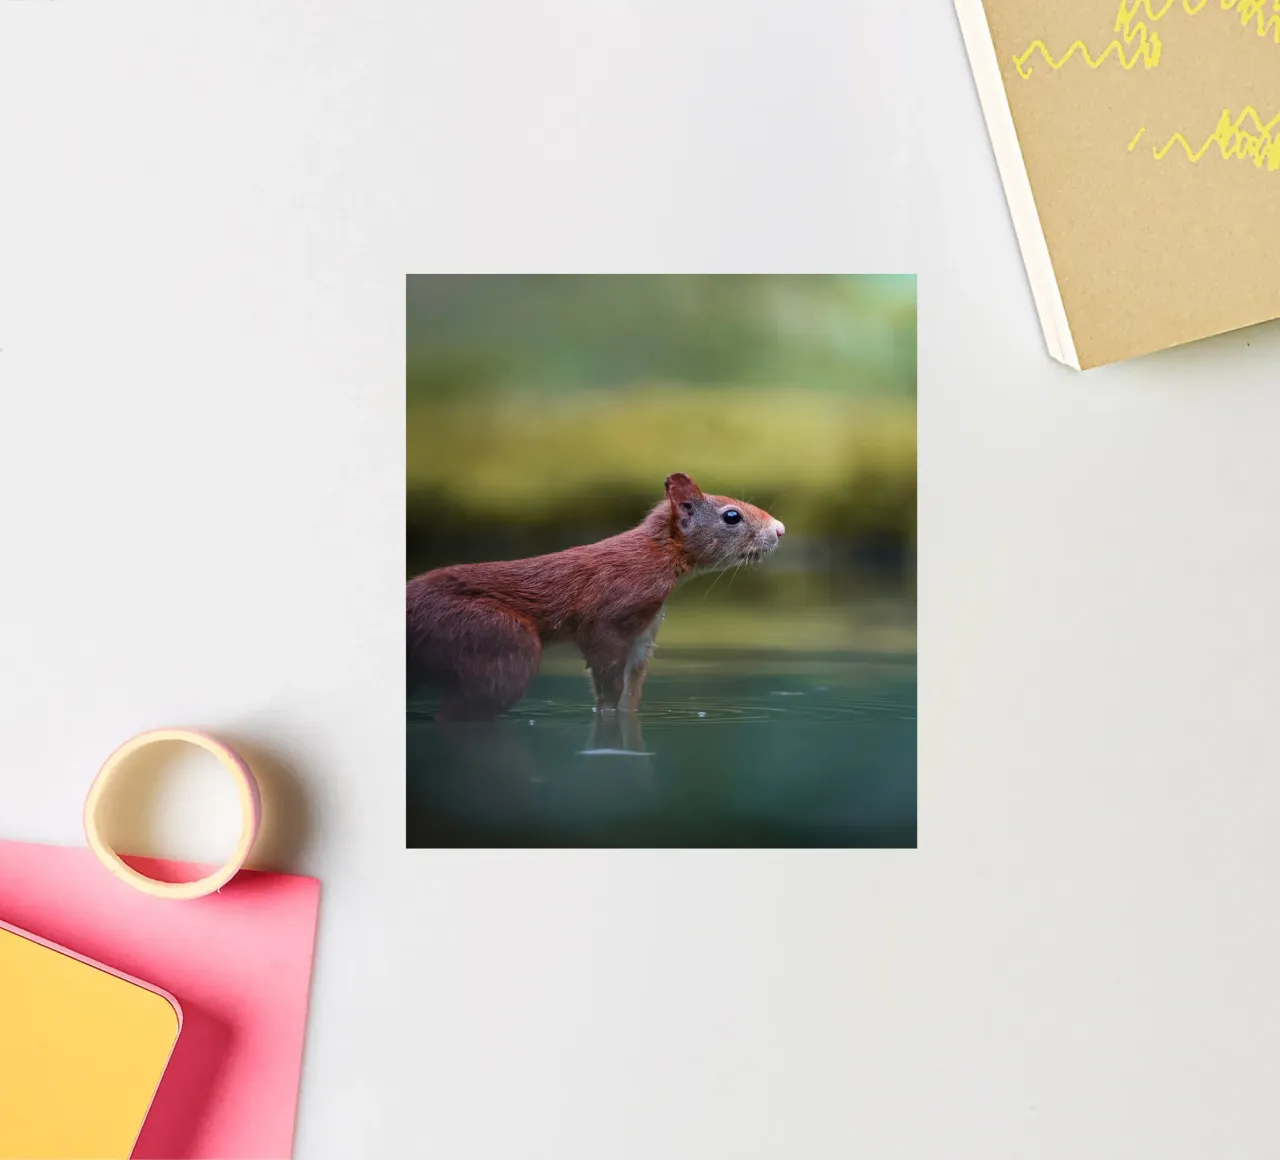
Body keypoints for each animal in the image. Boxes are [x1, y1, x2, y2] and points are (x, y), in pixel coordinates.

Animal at [407, 472, 784, 721]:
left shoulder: (643, 633)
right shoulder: (608, 616)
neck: (656, 556)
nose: (780, 530)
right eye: (731, 516)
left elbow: (631, 693)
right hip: (494, 638)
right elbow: (607, 684)